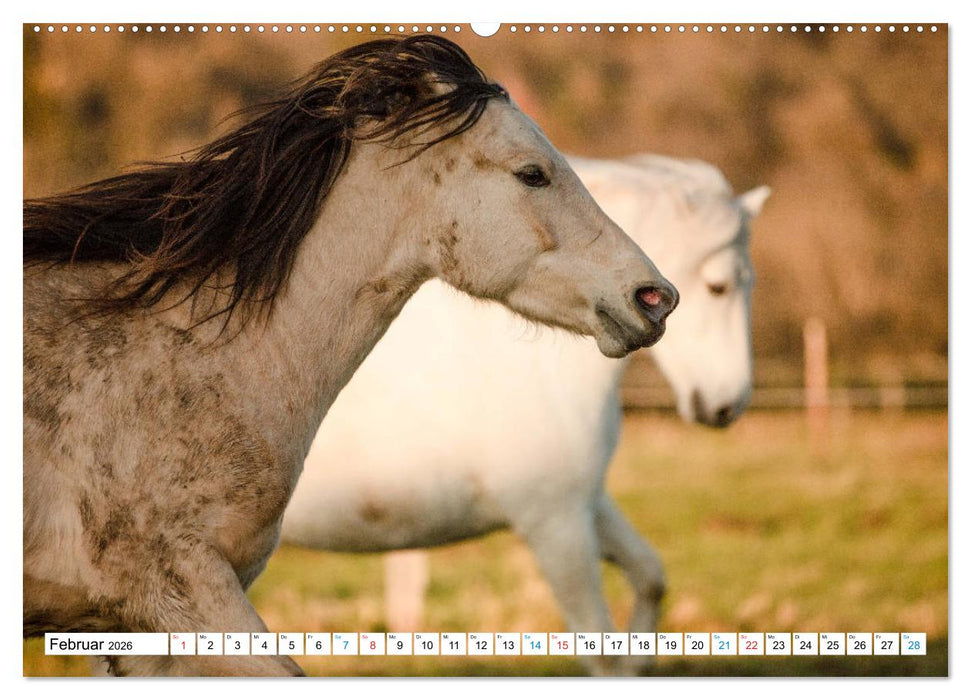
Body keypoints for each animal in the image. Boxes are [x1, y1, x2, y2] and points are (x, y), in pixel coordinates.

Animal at [281, 154, 769, 676]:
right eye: (718, 287)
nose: (726, 404)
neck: (536, 369)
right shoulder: (555, 524)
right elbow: (603, 652)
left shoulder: (585, 503)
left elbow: (650, 577)